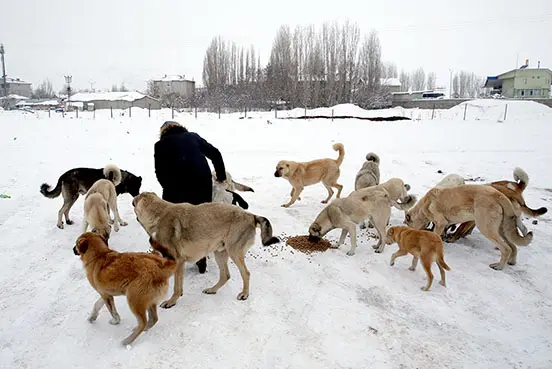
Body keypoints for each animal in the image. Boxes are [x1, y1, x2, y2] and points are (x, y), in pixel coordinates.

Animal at [133, 191, 280, 306]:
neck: (158, 215)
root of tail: (251, 215)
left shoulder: (178, 261)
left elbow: (176, 287)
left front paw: (171, 302)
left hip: (234, 252)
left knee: (246, 274)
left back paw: (244, 294)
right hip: (220, 253)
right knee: (225, 275)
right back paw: (212, 289)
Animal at [404, 184, 532, 270]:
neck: (424, 205)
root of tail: (499, 195)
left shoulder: (441, 223)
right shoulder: (445, 224)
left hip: (486, 227)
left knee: (506, 249)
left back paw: (499, 266)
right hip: (502, 230)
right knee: (513, 247)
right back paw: (511, 262)